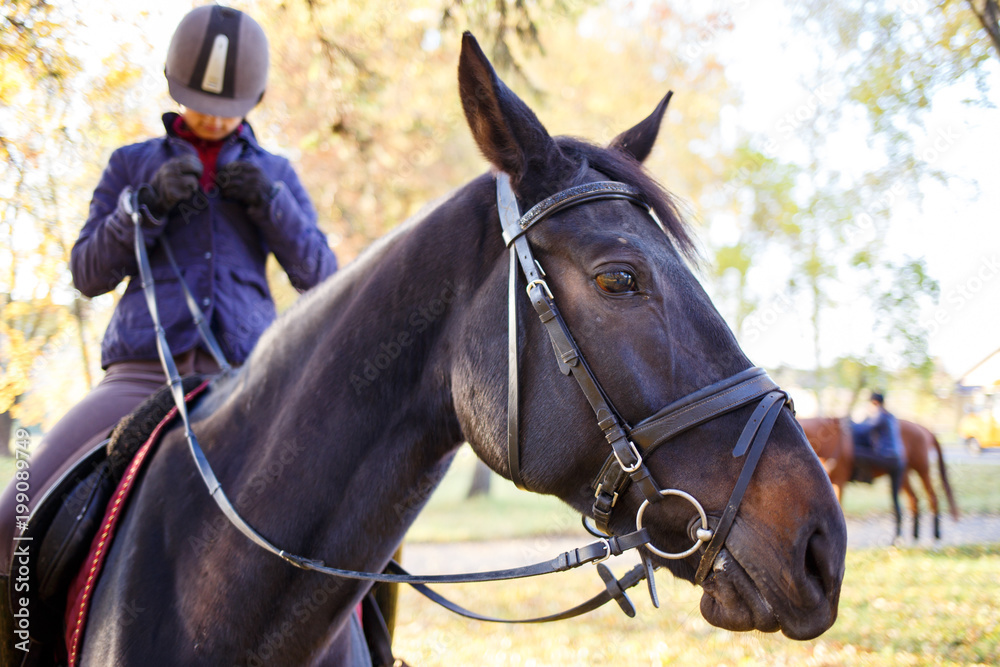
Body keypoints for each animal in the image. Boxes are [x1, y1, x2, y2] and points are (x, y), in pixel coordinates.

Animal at [796, 418, 960, 544]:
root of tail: (924, 429)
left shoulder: (839, 483)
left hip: (921, 470)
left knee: (932, 498)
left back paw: (934, 535)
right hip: (904, 475)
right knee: (913, 500)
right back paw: (914, 535)